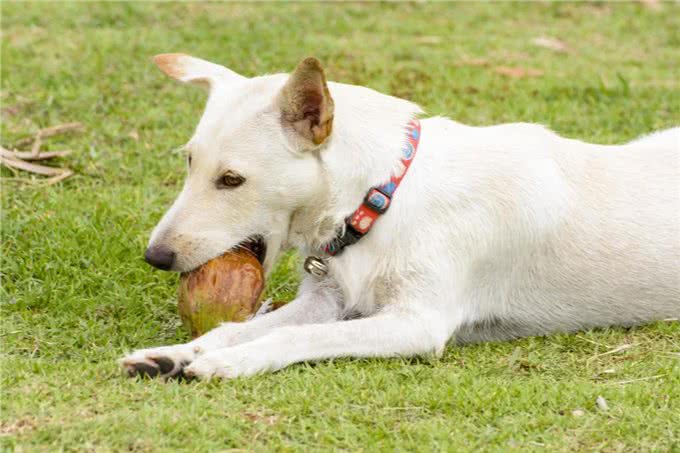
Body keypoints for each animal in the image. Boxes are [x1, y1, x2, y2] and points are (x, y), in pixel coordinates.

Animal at [121, 53, 676, 378]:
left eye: (232, 180)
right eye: (190, 162)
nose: (155, 256)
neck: (379, 199)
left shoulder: (415, 322)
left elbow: (293, 336)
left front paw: (229, 361)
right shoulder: (326, 300)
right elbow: (240, 327)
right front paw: (176, 353)